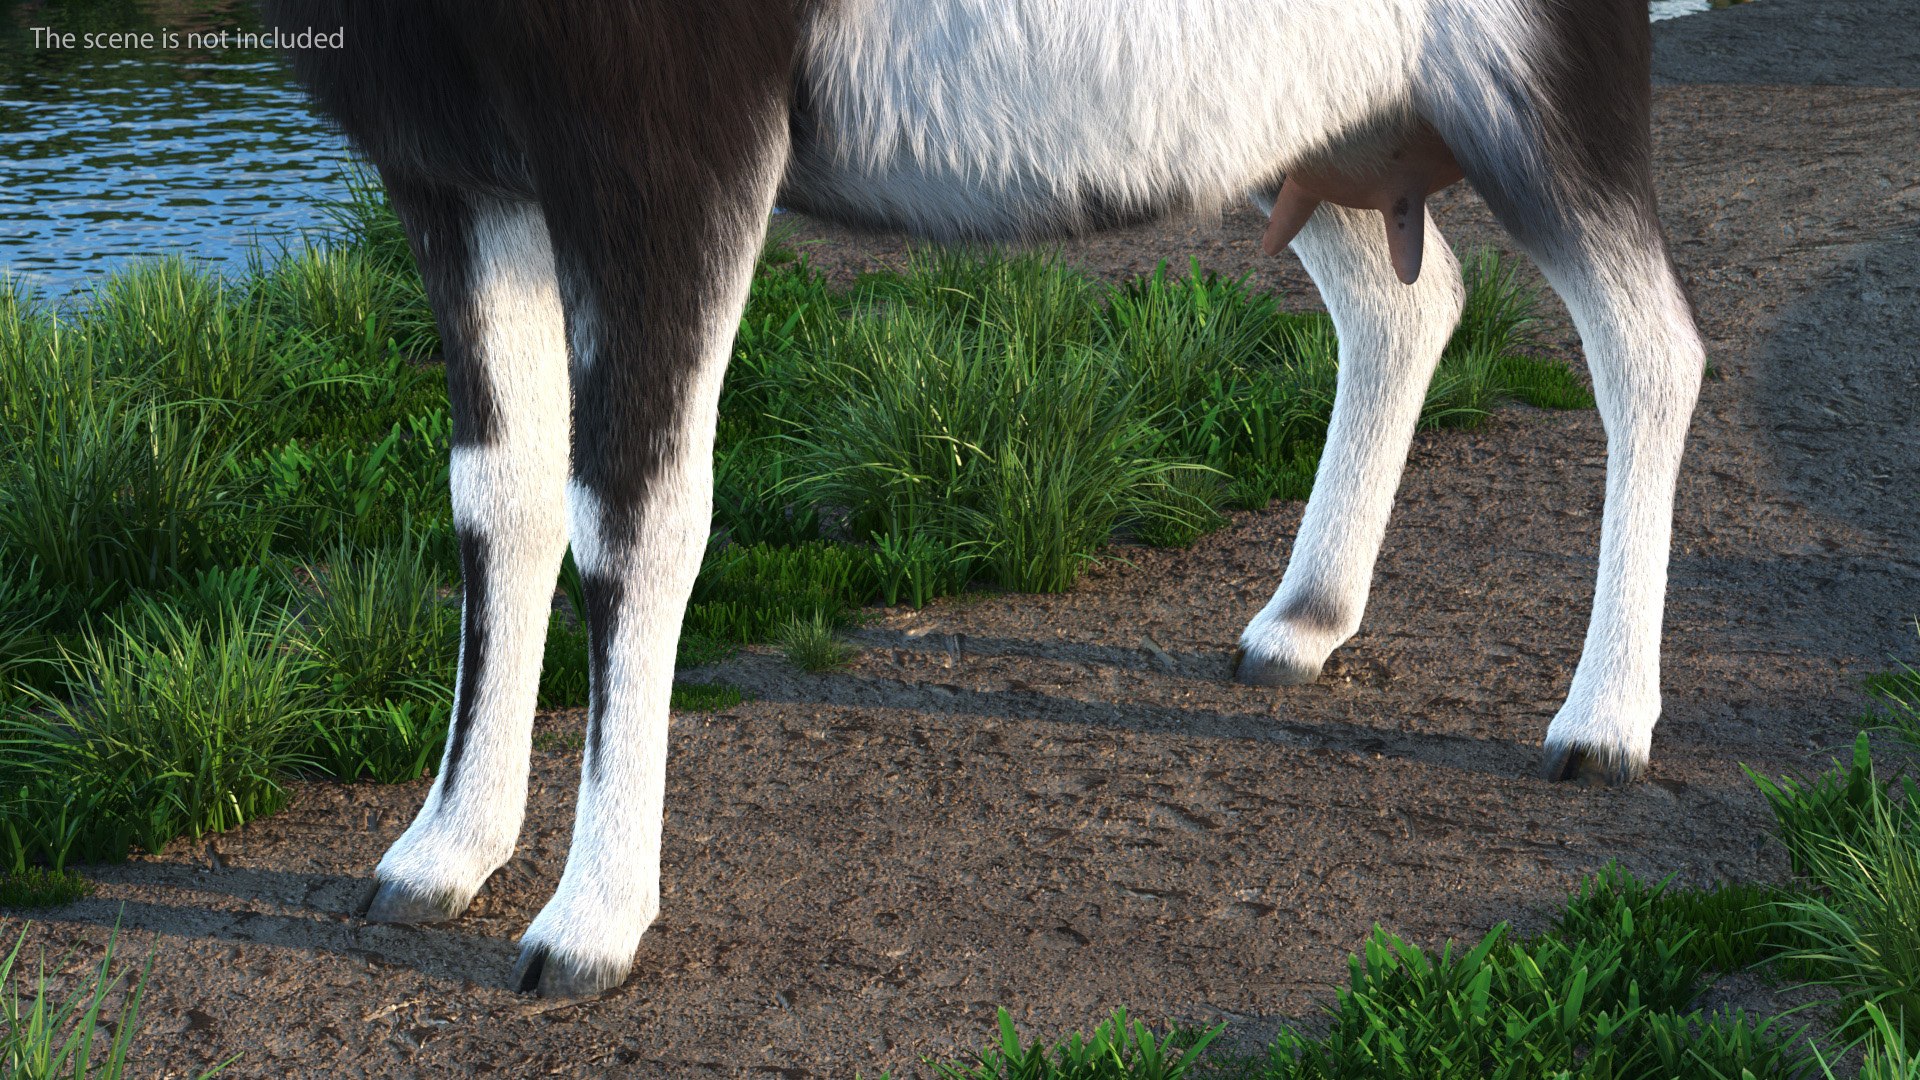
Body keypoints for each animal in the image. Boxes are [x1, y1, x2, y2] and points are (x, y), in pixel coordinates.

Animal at [265, 0, 1703, 996]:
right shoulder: (453, 169)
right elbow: (494, 497)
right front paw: (437, 853)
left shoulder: (668, 144)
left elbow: (633, 514)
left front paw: (587, 926)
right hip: (1319, 127)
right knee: (1410, 305)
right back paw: (1300, 623)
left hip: (1546, 88)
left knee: (1653, 349)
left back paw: (1602, 722)